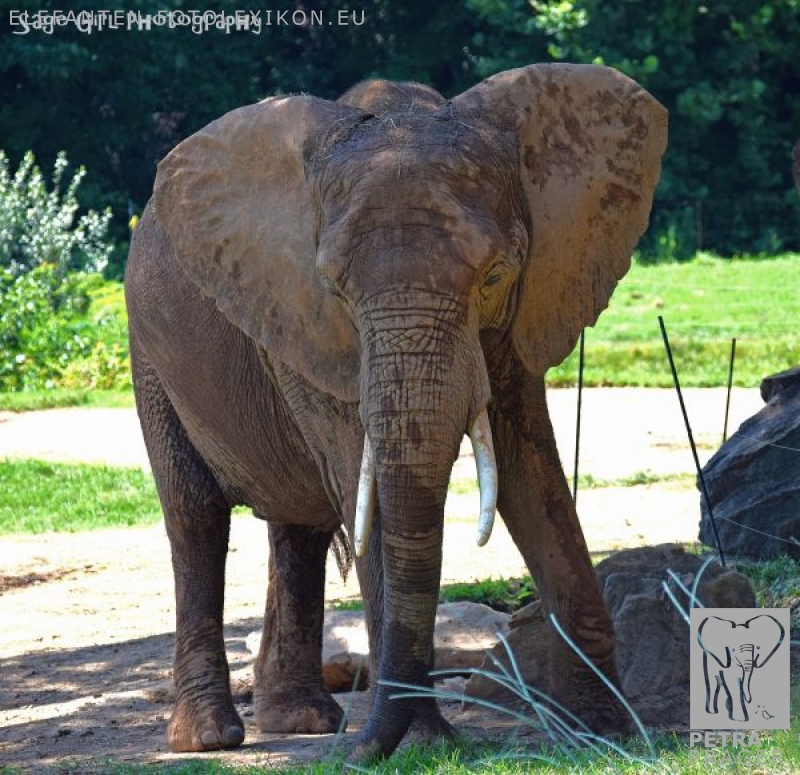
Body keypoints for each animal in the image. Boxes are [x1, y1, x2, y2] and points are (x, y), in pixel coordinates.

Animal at [123, 63, 664, 760]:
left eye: (495, 275)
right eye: (334, 288)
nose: (353, 758)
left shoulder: (521, 315)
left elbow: (532, 473)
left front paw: (608, 734)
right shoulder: (304, 319)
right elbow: (372, 485)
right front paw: (424, 747)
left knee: (298, 528)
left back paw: (301, 722)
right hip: (149, 353)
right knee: (196, 519)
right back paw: (210, 738)